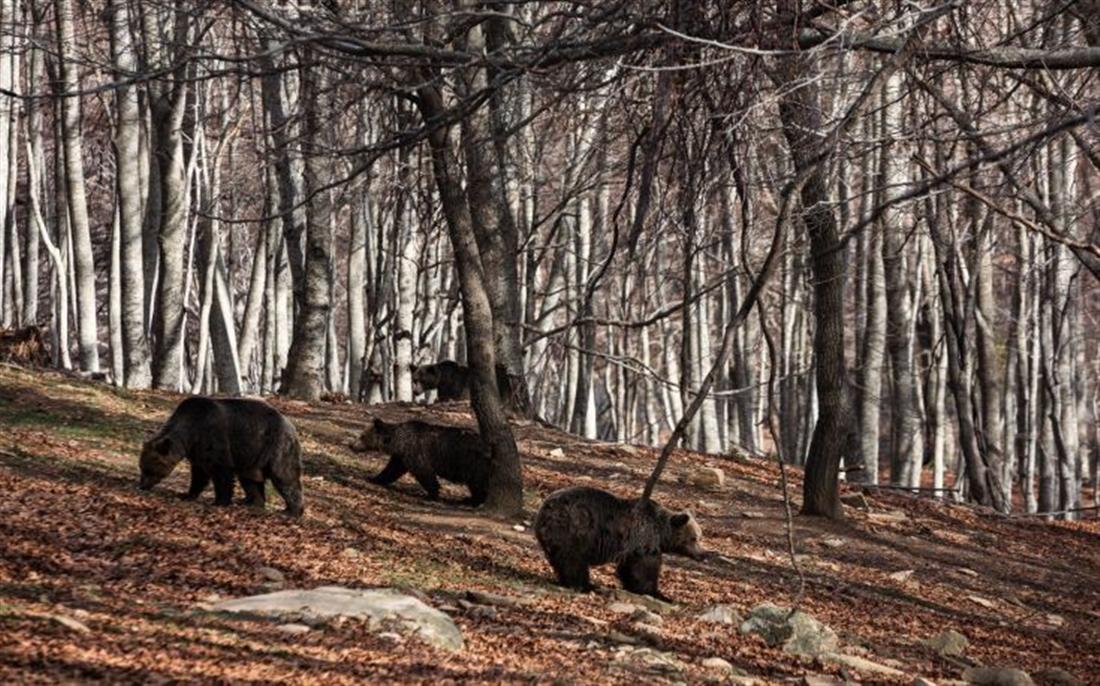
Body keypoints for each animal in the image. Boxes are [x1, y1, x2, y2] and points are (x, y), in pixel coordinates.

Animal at [141, 393, 308, 516]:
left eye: (148, 469)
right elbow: (199, 475)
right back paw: (250, 502)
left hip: (276, 446)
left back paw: (292, 511)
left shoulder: (212, 435)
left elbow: (221, 471)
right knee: (250, 479)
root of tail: (290, 424)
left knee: (284, 476)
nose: (142, 485)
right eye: (142, 467)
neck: (189, 435)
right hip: (252, 457)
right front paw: (187, 494)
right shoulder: (197, 451)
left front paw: (219, 501)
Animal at [352, 415, 490, 505]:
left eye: (362, 436)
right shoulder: (401, 457)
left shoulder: (416, 452)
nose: (351, 445)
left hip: (473, 463)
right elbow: (391, 470)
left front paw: (432, 494)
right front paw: (374, 478)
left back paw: (472, 501)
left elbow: (424, 473)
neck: (398, 442)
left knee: (477, 484)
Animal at [532, 485, 704, 598]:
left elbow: (628, 569)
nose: (702, 555)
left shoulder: (632, 548)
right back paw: (586, 585)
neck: (661, 533)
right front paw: (657, 593)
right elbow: (645, 569)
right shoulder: (643, 540)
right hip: (575, 529)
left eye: (699, 537)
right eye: (693, 538)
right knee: (574, 561)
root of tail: (544, 509)